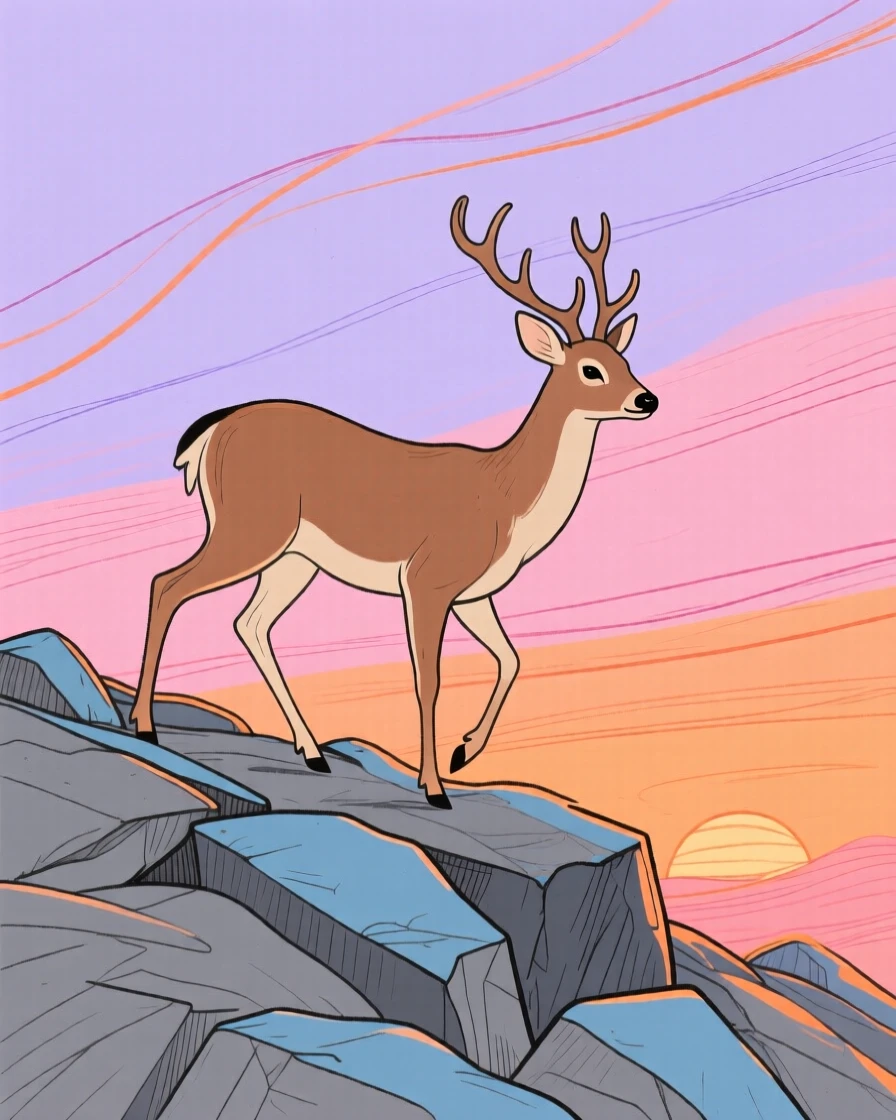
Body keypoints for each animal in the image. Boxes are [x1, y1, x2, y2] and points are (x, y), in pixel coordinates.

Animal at [129, 195, 658, 808]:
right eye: (590, 370)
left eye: (624, 361)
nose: (647, 399)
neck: (507, 498)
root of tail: (208, 432)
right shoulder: (428, 578)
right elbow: (428, 680)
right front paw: (434, 787)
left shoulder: (475, 592)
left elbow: (512, 658)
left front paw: (464, 751)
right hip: (250, 526)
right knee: (166, 583)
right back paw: (145, 725)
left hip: (293, 556)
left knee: (249, 622)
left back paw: (312, 752)